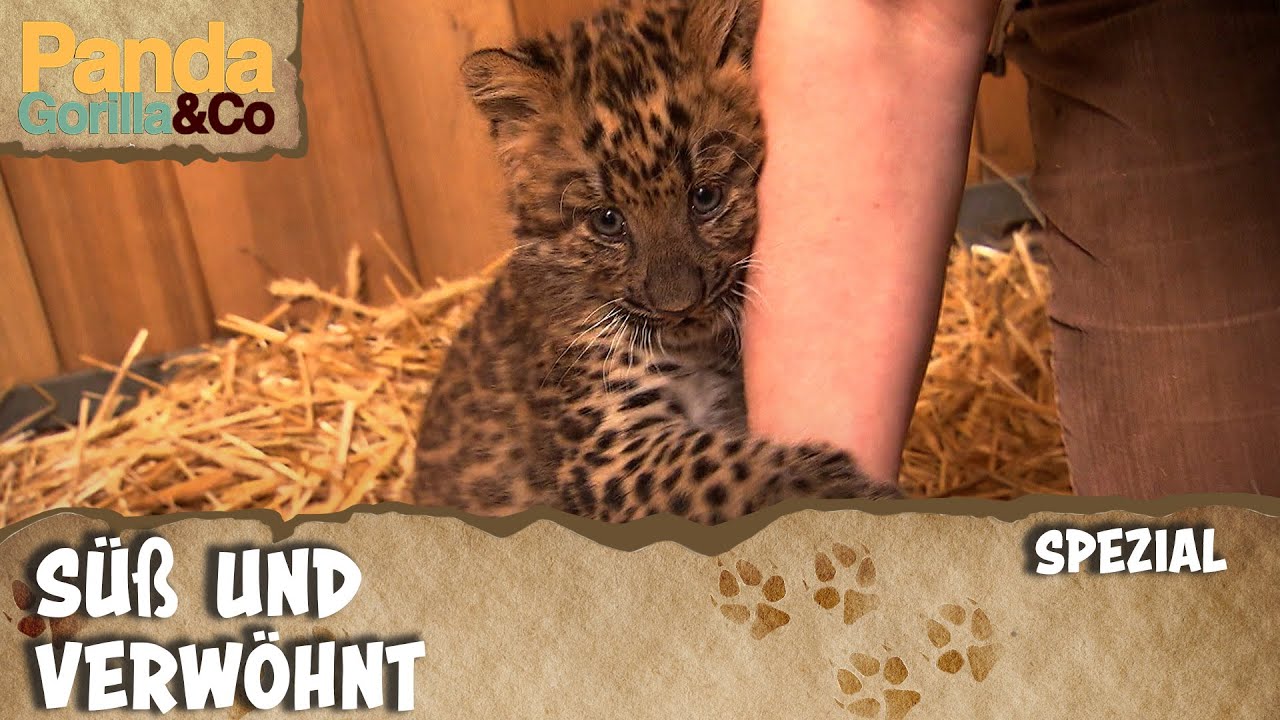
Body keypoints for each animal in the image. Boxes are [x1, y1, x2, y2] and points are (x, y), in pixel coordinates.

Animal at [411, 0, 900, 524]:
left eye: (705, 197)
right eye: (608, 221)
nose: (680, 307)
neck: (699, 350)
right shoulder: (608, 452)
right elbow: (721, 470)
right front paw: (841, 492)